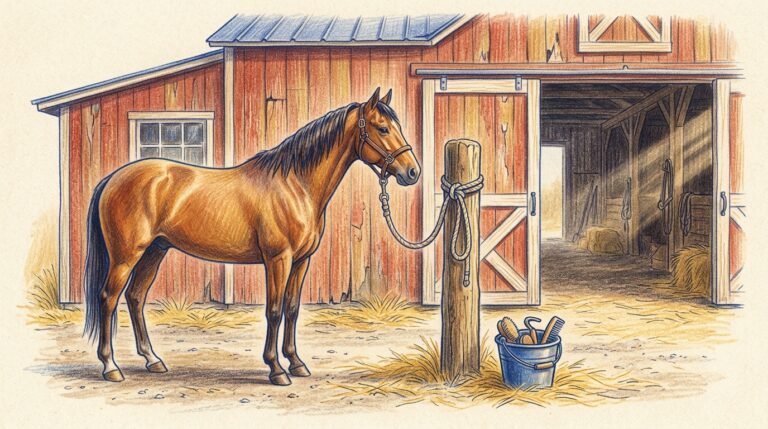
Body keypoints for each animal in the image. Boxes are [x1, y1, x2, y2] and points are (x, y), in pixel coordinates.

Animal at [82, 88, 420, 386]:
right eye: (382, 128)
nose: (413, 172)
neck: (294, 185)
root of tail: (112, 178)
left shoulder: (301, 261)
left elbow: (292, 309)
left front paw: (296, 363)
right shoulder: (278, 260)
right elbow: (274, 311)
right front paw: (276, 370)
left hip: (155, 251)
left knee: (135, 297)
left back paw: (153, 360)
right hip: (126, 256)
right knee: (109, 298)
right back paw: (111, 367)